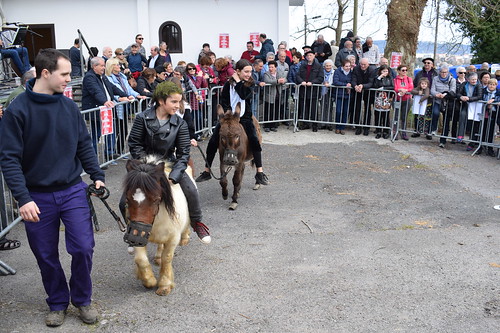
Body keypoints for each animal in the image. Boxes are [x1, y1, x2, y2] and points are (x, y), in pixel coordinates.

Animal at [122, 156, 190, 296]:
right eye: (127, 199)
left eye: (156, 199)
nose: (134, 237)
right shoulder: (139, 236)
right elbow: (141, 259)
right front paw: (148, 280)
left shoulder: (173, 239)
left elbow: (167, 258)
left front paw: (164, 285)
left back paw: (185, 238)